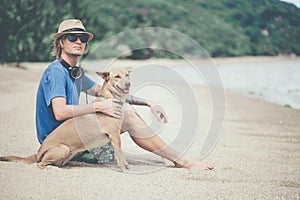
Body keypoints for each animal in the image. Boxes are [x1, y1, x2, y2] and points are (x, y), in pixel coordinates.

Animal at [0, 68, 131, 171]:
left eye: (127, 75)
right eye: (117, 76)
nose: (128, 84)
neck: (110, 98)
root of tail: (38, 152)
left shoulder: (116, 136)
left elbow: (122, 155)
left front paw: (126, 165)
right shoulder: (114, 136)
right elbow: (120, 156)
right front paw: (124, 169)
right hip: (63, 149)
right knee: (40, 164)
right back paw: (50, 168)